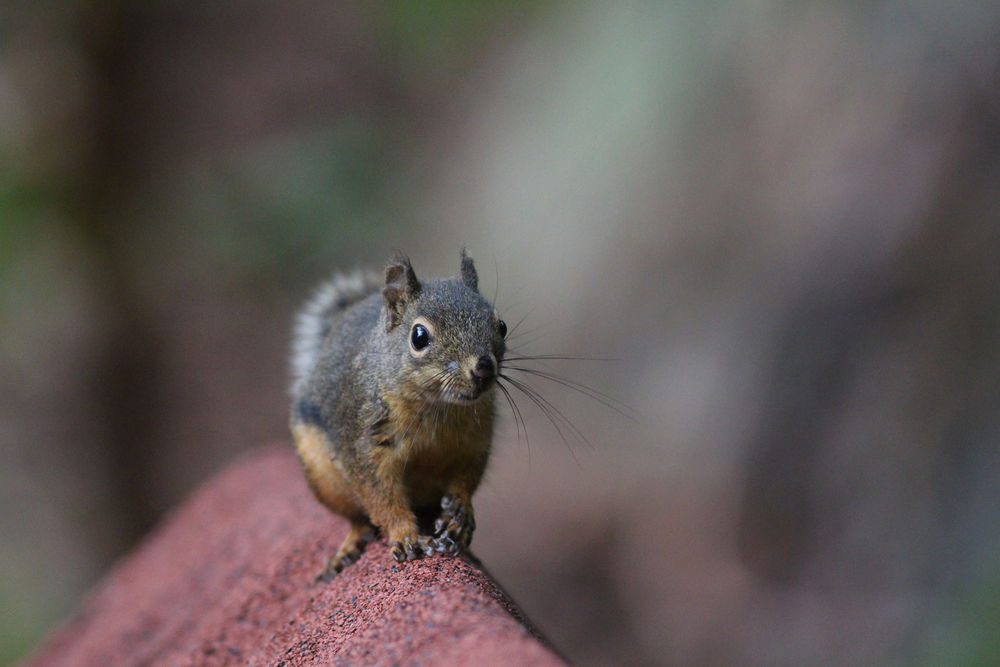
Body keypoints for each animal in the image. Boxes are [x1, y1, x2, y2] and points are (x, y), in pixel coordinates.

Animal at [289, 249, 508, 580]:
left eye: (501, 326)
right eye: (419, 336)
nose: (483, 368)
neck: (437, 409)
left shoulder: (474, 443)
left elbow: (466, 479)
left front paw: (460, 510)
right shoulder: (363, 446)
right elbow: (381, 498)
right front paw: (406, 537)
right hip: (324, 478)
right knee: (358, 519)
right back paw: (350, 545)